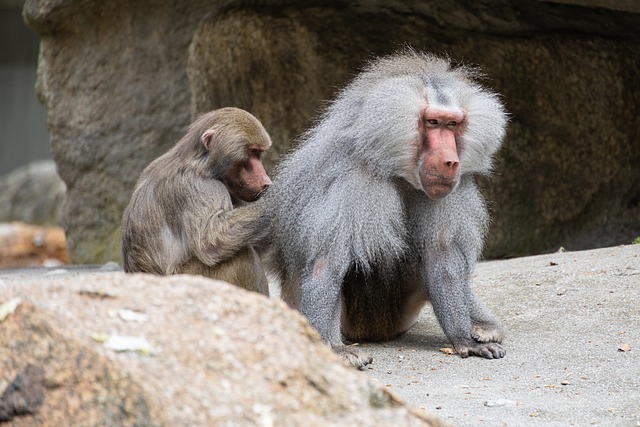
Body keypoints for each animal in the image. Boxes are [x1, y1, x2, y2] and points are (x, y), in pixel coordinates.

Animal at [121, 107, 272, 295]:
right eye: (252, 152)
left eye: (259, 153)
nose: (266, 182)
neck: (202, 164)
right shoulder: (197, 185)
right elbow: (211, 239)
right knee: (238, 255)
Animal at [264, 49, 508, 368]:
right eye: (432, 122)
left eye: (452, 124)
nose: (450, 162)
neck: (400, 171)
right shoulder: (351, 181)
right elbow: (326, 263)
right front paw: (333, 351)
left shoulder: (445, 194)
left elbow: (442, 259)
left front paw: (463, 339)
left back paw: (484, 327)